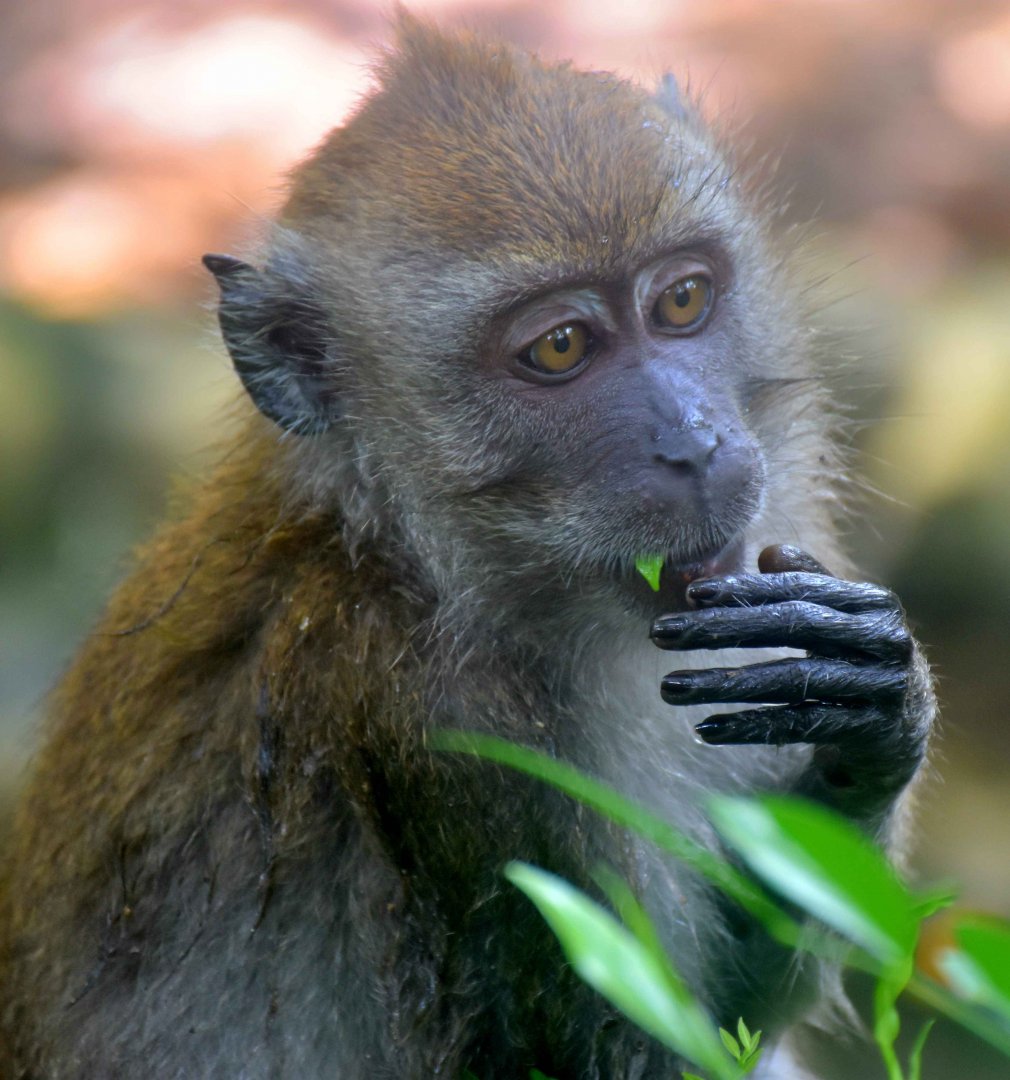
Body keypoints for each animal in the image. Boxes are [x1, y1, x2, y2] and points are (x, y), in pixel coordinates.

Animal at [0, 14, 934, 1080]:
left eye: (683, 301)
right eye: (560, 348)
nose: (694, 445)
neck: (407, 560)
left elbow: (741, 1006)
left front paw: (873, 713)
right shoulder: (451, 724)